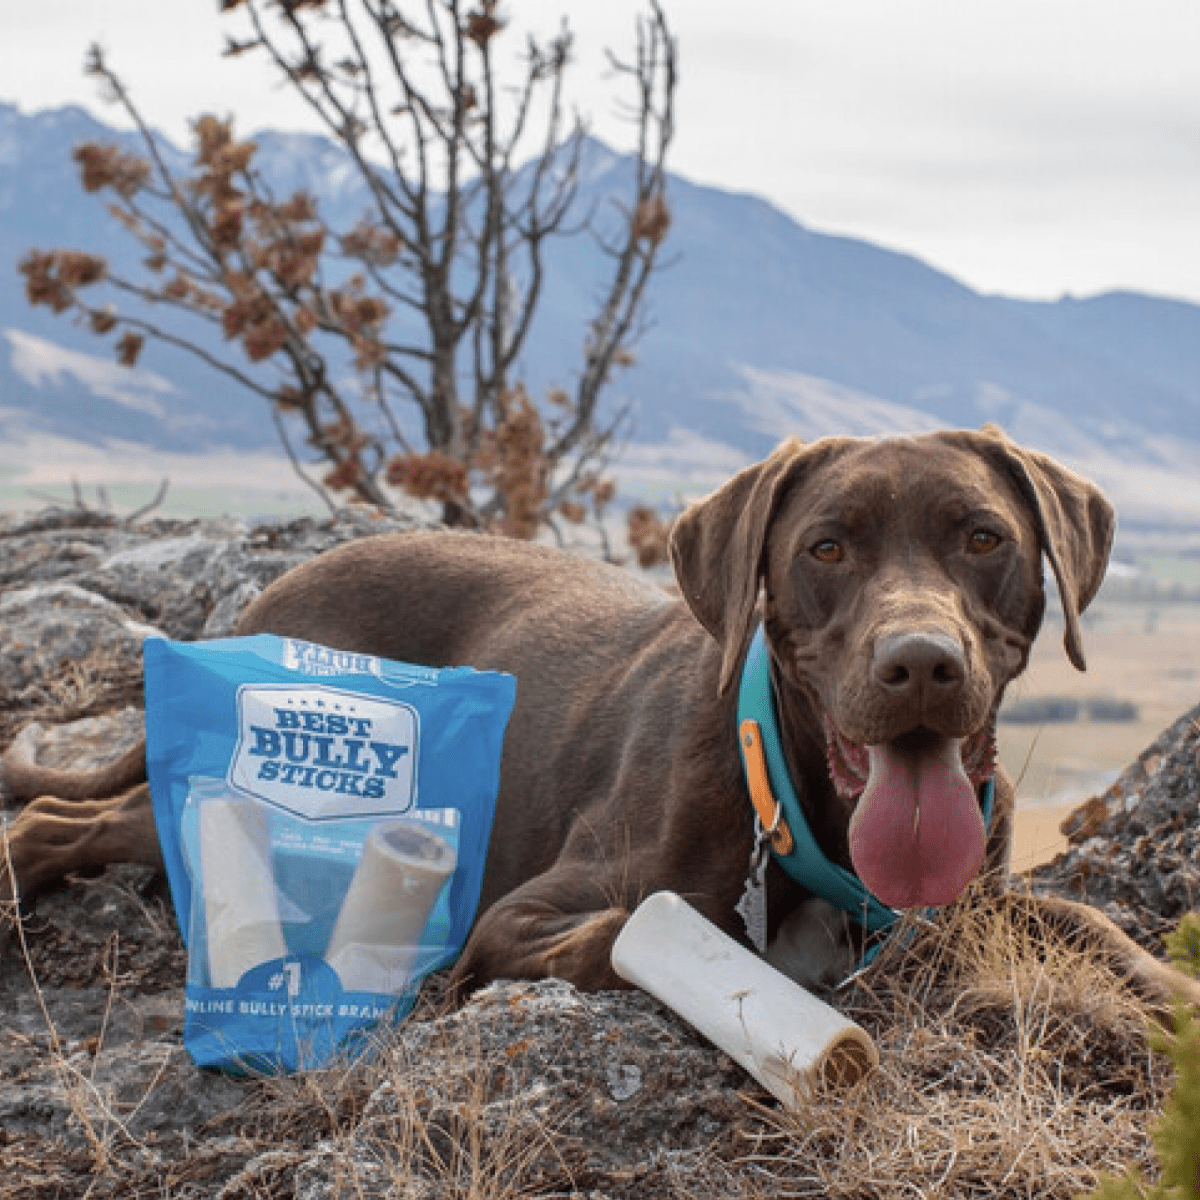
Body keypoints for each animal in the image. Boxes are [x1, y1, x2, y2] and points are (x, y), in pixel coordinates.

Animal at [2, 427, 1200, 1008]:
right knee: (70, 822)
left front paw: (1164, 987)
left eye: (984, 538)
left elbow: (1081, 921)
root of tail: (269, 592)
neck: (793, 804)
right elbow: (647, 934)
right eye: (827, 546)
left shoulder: (970, 903)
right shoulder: (523, 918)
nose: (921, 665)